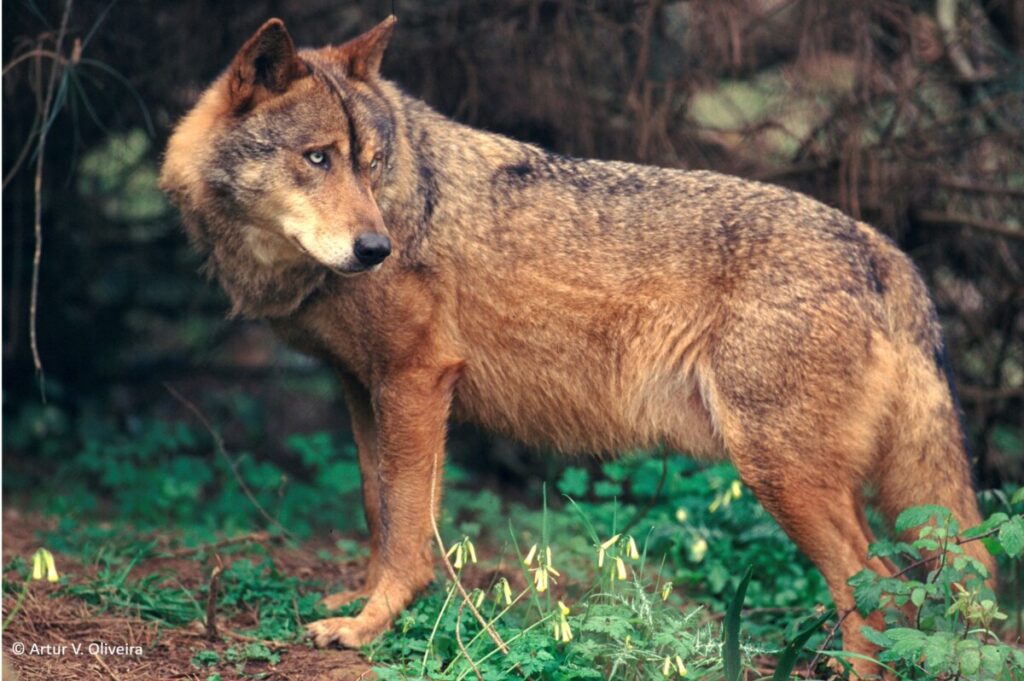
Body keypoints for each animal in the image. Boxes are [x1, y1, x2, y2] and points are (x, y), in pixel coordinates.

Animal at [159, 14, 991, 675]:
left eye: (369, 165)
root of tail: (881, 248)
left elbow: (405, 527)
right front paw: (362, 598)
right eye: (318, 158)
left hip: (781, 474)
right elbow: (378, 506)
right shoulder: (364, 388)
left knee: (876, 587)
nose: (377, 248)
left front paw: (370, 623)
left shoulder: (419, 379)